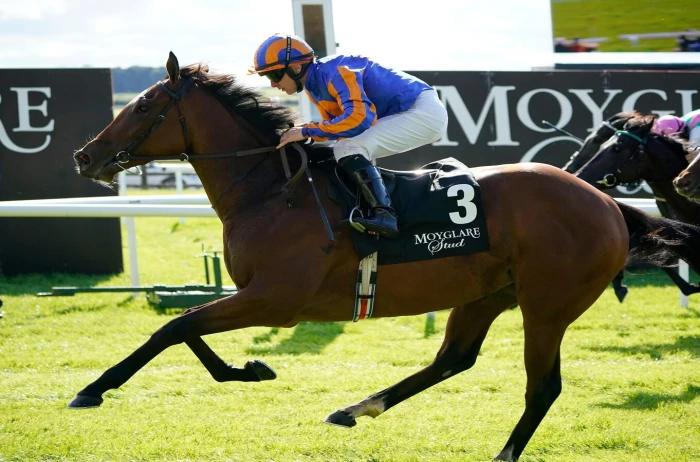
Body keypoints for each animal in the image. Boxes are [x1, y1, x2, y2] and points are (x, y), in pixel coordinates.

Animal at [67, 52, 700, 460]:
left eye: (143, 106)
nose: (84, 156)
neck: (271, 191)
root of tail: (606, 202)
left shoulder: (275, 299)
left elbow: (174, 327)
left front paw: (93, 389)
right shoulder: (255, 295)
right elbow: (185, 326)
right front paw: (250, 369)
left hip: (548, 306)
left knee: (541, 387)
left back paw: (500, 452)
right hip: (488, 294)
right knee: (453, 360)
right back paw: (354, 409)